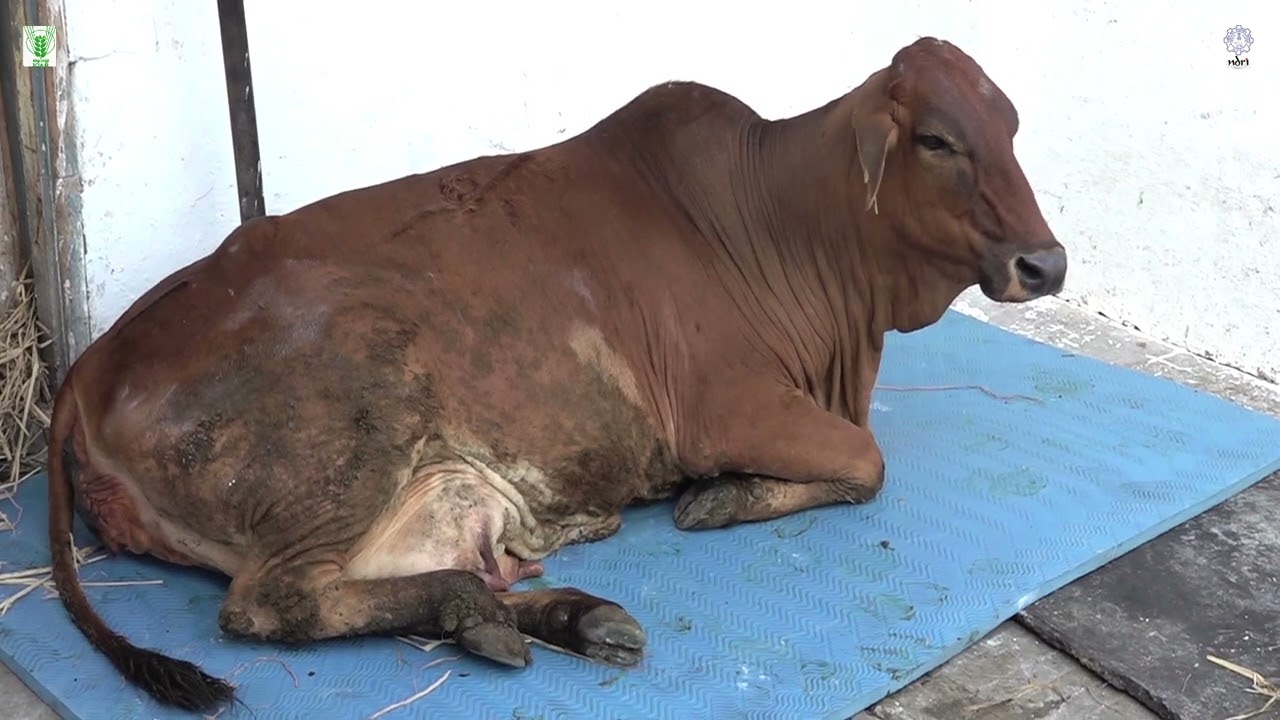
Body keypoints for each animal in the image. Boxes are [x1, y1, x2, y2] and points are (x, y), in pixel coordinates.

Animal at [45, 37, 1066, 712]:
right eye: (936, 140)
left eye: (1014, 126)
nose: (1045, 264)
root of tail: (88, 369)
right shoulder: (723, 411)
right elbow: (866, 460)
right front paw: (722, 496)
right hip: (350, 439)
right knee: (270, 604)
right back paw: (506, 612)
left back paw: (564, 616)